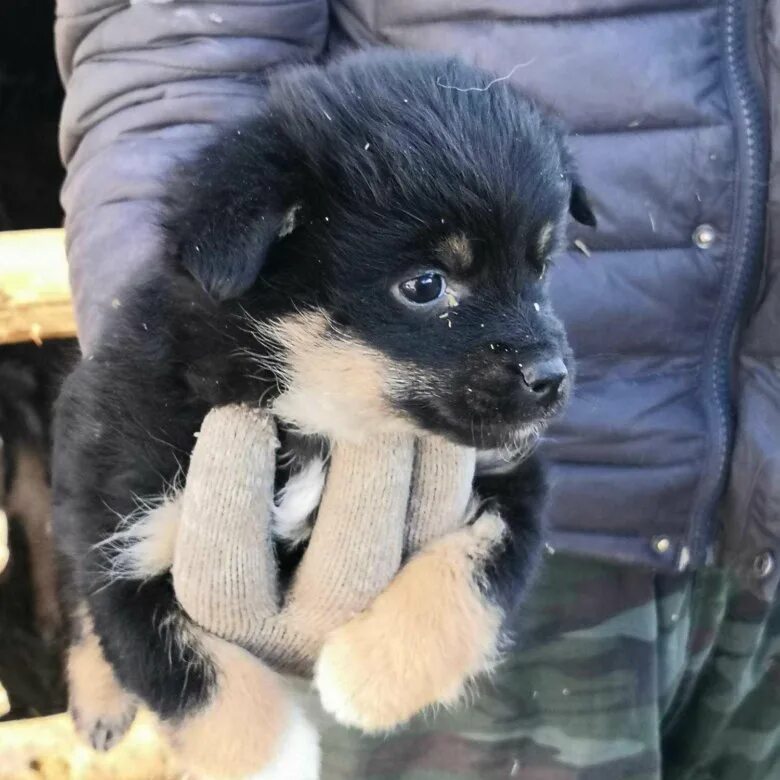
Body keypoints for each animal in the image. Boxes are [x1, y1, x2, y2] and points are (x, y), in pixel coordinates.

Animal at [51, 51, 596, 776]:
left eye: (540, 268)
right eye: (425, 285)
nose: (551, 378)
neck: (312, 417)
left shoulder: (512, 475)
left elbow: (480, 570)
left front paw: (372, 673)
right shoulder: (127, 536)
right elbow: (197, 681)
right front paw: (275, 756)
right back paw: (99, 701)